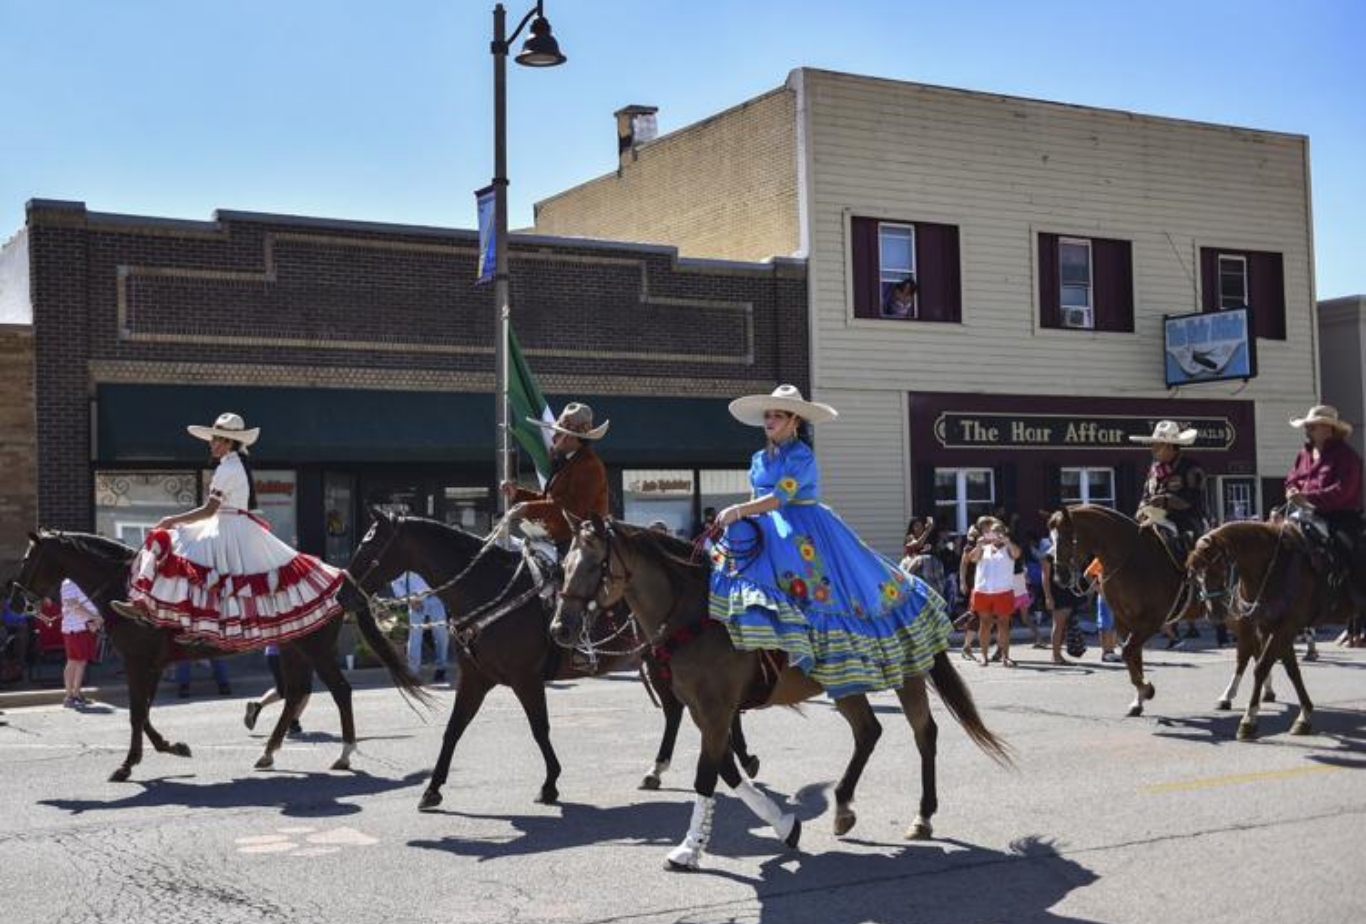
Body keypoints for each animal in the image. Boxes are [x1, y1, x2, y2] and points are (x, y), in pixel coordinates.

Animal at [6, 527, 426, 781]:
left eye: (27, 560)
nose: (13, 601)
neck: (124, 588)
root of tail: (342, 577)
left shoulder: (138, 661)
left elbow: (137, 713)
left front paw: (127, 765)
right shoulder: (150, 664)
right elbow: (143, 713)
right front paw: (171, 747)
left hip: (316, 649)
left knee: (339, 691)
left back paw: (344, 753)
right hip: (293, 648)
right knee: (294, 695)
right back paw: (269, 753)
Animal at [330, 508, 759, 814]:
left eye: (370, 547)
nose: (341, 596)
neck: (488, 589)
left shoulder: (525, 678)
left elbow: (539, 729)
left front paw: (550, 783)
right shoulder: (475, 677)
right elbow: (453, 730)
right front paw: (432, 789)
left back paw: (739, 757)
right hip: (658, 658)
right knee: (677, 709)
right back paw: (661, 769)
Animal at [546, 519, 1016, 874]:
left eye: (594, 564)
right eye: (563, 565)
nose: (559, 628)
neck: (695, 616)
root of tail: (911, 580)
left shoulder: (715, 710)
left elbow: (707, 776)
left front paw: (689, 849)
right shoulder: (704, 711)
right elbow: (729, 773)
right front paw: (784, 825)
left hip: (908, 675)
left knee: (924, 733)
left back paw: (922, 815)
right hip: (845, 683)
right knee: (869, 731)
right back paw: (843, 808)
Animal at [1043, 505, 1196, 716]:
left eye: (1068, 536)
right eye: (1050, 538)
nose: (1059, 577)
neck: (1132, 559)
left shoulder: (1152, 621)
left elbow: (1129, 653)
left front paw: (1146, 690)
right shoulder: (1124, 620)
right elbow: (1132, 656)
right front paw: (1140, 698)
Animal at [1185, 522, 1355, 738]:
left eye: (1216, 570)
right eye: (1195, 575)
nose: (1214, 613)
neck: (1274, 568)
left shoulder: (1280, 628)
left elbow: (1259, 665)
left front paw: (1248, 719)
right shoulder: (1270, 628)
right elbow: (1290, 670)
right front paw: (1304, 716)